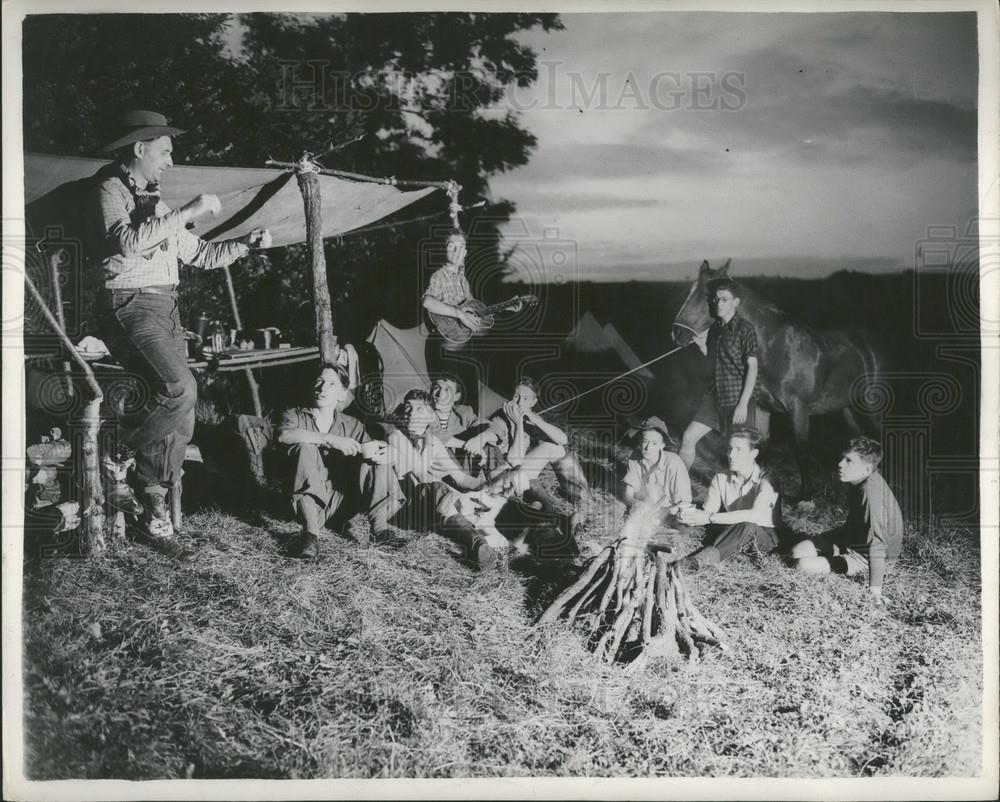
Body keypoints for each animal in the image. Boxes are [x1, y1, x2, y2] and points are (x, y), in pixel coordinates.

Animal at [676, 260, 880, 496]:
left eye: (708, 296)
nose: (677, 333)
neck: (777, 347)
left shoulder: (799, 411)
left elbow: (801, 450)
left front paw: (806, 496)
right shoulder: (763, 408)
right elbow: (761, 449)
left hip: (872, 410)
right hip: (849, 409)